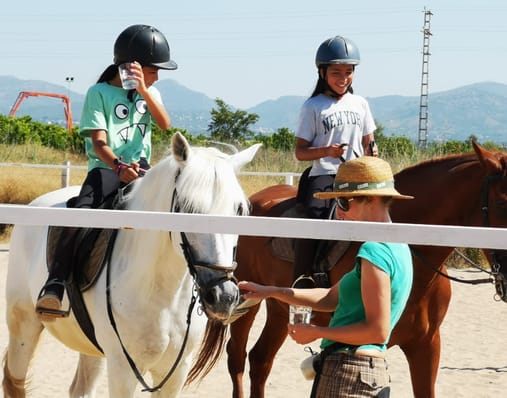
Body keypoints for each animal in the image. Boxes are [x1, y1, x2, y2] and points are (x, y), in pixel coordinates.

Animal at [0, 132, 262, 396]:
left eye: (239, 210)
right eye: (188, 209)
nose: (223, 296)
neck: (160, 290)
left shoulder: (175, 372)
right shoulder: (123, 369)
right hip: (24, 325)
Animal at [225, 141, 507, 396]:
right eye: (502, 205)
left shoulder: (426, 346)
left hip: (279, 309)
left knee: (260, 360)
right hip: (244, 308)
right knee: (236, 357)